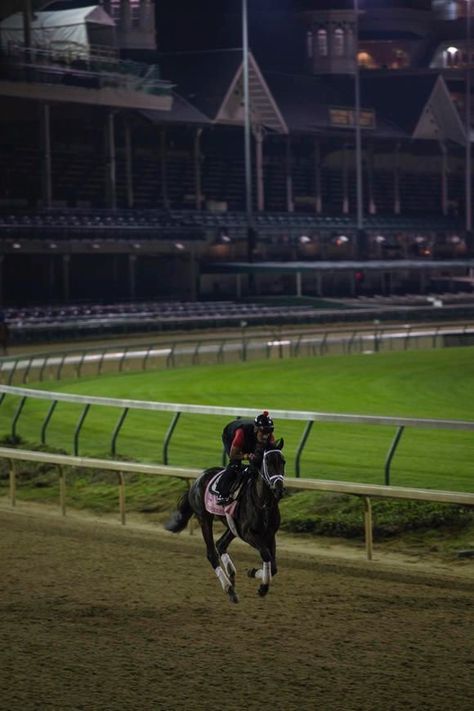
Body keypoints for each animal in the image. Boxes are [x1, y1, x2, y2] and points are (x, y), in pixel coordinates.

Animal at [165, 442, 286, 604]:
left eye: (283, 462)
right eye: (268, 462)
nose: (279, 490)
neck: (263, 503)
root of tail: (197, 479)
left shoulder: (269, 534)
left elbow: (274, 567)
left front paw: (253, 572)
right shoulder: (248, 534)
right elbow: (266, 555)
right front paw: (263, 587)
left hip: (231, 527)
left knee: (221, 544)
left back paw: (231, 574)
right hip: (204, 518)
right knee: (211, 553)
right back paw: (229, 588)